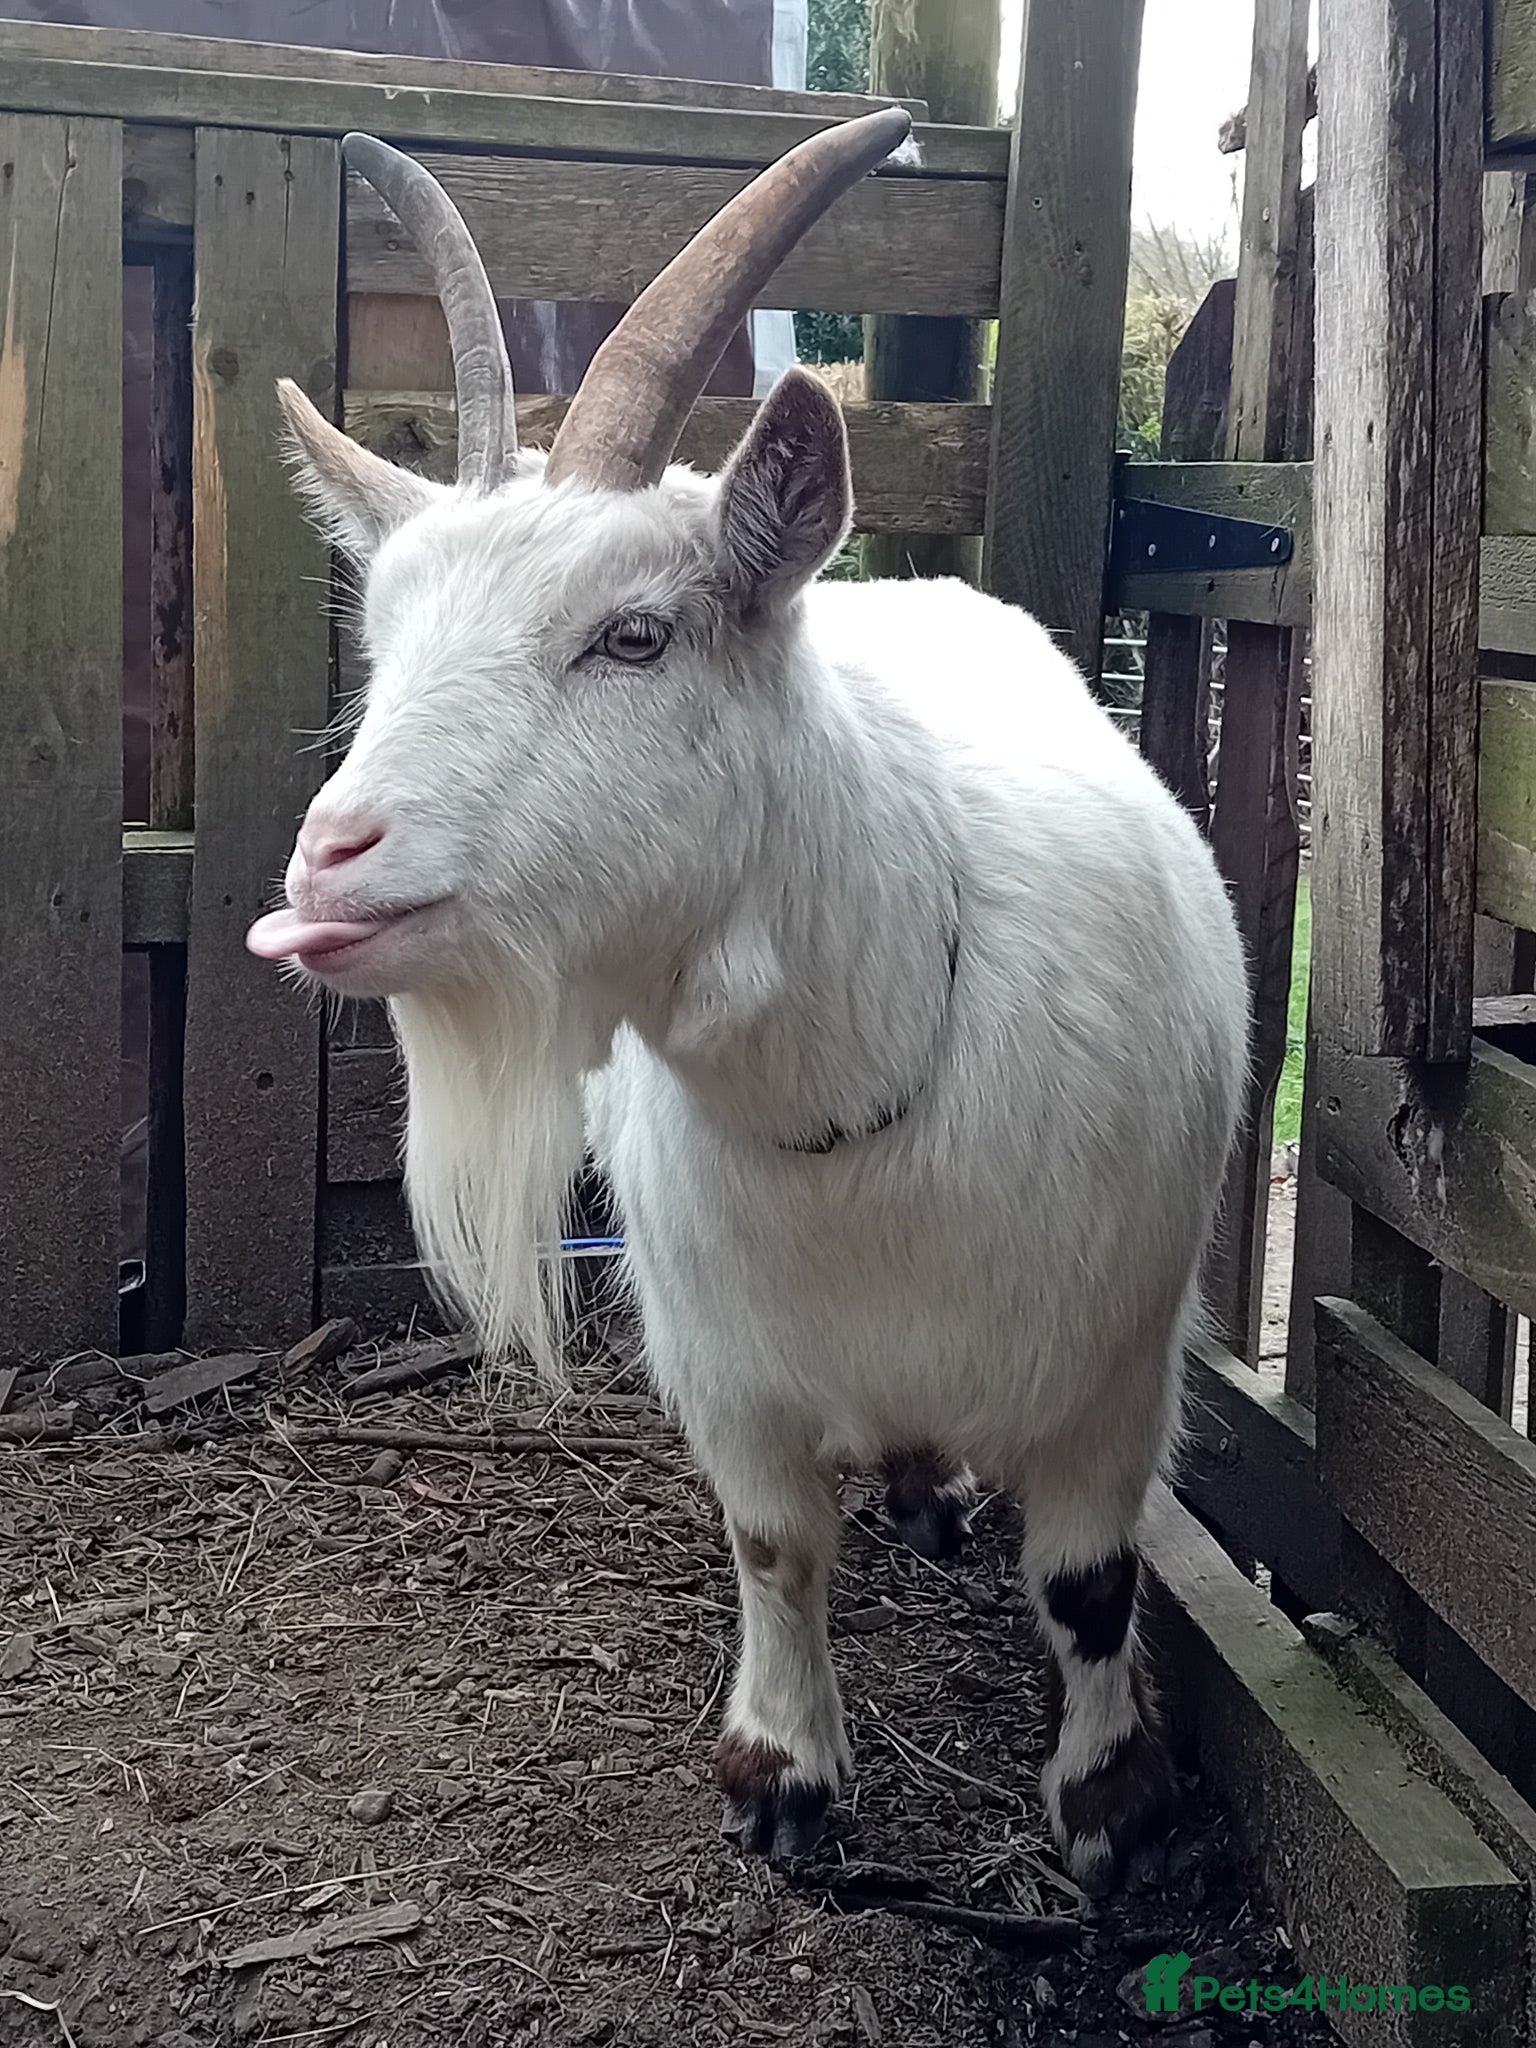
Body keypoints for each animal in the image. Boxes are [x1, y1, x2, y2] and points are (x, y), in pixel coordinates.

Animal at [248, 113, 1249, 1893]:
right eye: (386, 641)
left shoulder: (1116, 1364)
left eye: (634, 636)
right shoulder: (729, 1358)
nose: (332, 858)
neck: (863, 1094)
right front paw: (784, 1776)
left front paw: (1109, 1810)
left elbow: (1089, 1584)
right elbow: (777, 1544)